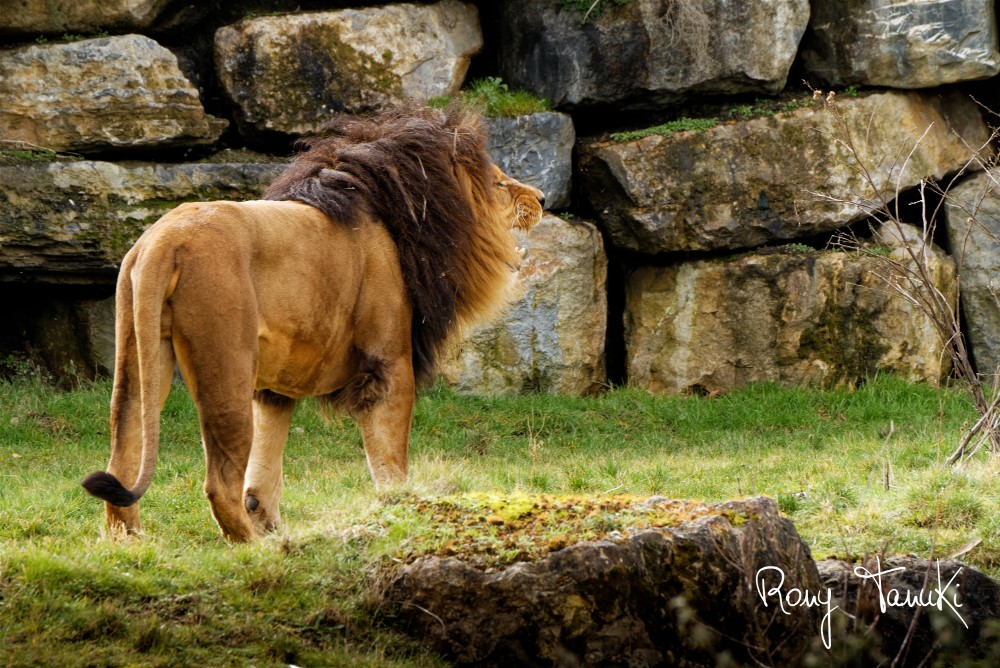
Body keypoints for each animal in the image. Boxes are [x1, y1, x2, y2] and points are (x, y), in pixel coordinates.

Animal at [81, 105, 544, 544]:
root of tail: (165, 240)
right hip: (227, 369)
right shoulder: (388, 364)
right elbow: (390, 459)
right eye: (500, 184)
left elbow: (265, 468)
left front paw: (269, 520)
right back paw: (252, 546)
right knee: (219, 481)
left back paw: (130, 540)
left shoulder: (275, 388)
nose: (541, 197)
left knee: (124, 455)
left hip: (139, 358)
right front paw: (400, 510)